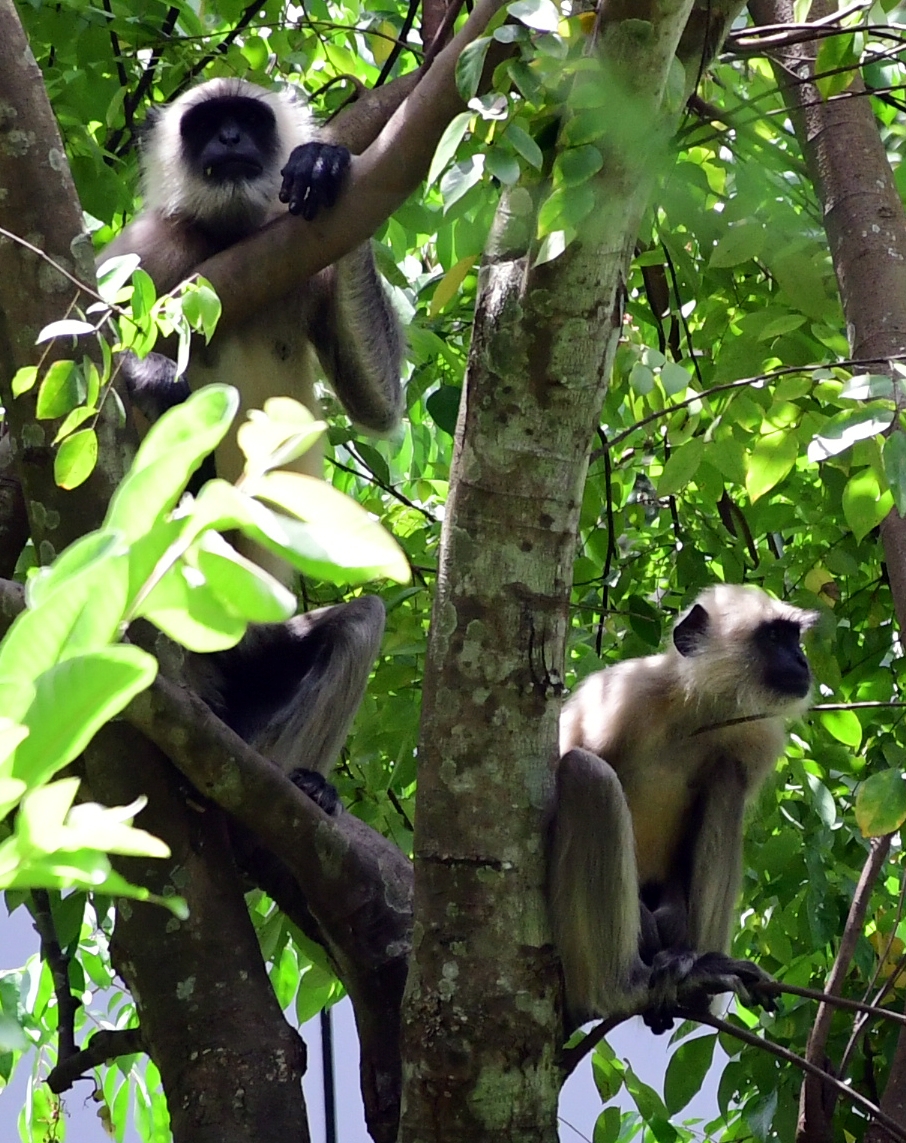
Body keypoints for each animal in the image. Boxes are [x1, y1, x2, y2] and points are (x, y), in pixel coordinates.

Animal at [95, 76, 402, 800]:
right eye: (209, 124)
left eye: (246, 121)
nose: (230, 139)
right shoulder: (139, 253)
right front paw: (150, 376)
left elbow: (381, 408)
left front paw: (327, 163)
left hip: (255, 655)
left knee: (359, 621)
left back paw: (292, 786)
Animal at [543, 585, 818, 1033]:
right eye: (775, 637)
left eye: (795, 639)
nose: (801, 661)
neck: (694, 712)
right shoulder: (624, 696)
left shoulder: (753, 734)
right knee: (586, 774)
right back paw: (623, 987)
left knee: (727, 779)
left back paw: (699, 975)